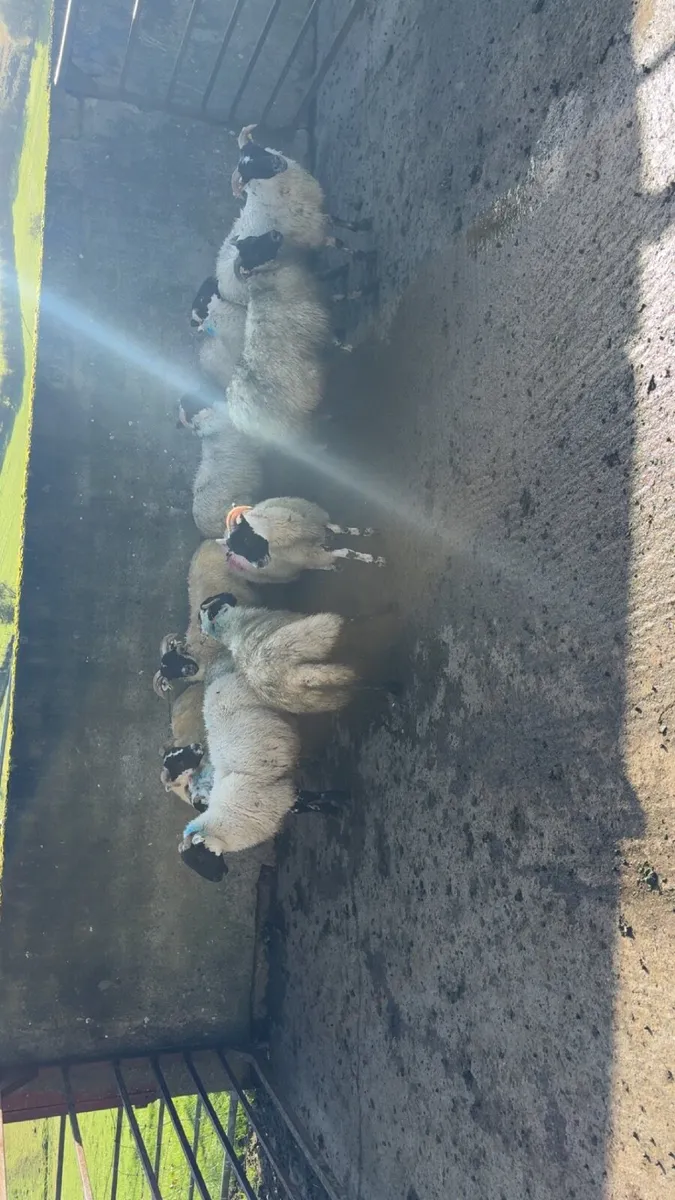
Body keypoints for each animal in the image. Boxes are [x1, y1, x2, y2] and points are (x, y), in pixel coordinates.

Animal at [218, 496, 385, 584]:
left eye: (247, 539)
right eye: (237, 552)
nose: (258, 565)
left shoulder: (318, 523)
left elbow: (342, 529)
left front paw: (367, 532)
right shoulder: (312, 552)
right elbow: (347, 552)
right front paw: (374, 559)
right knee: (312, 566)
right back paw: (332, 566)